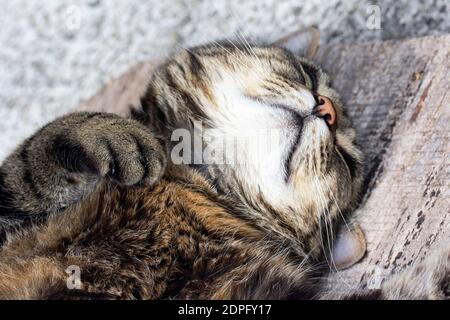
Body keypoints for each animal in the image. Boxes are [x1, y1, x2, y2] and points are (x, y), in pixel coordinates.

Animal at [0, 31, 446, 298]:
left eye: (348, 162)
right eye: (308, 75)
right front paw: (115, 133)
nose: (327, 110)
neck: (196, 185)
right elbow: (36, 157)